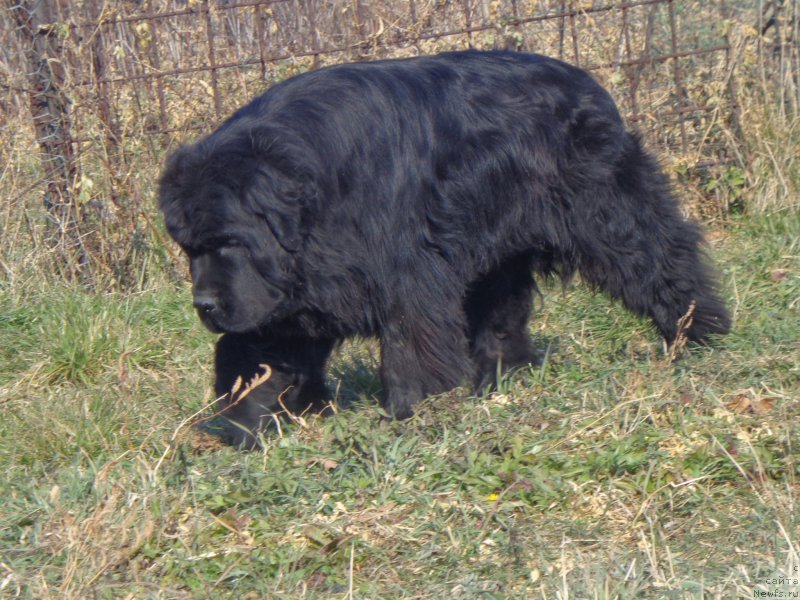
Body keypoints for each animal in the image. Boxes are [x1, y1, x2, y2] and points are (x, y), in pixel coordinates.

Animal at [158, 49, 732, 438]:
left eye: (229, 240)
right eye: (188, 248)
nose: (204, 305)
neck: (311, 191)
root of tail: (589, 83)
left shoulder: (400, 271)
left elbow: (412, 338)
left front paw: (416, 408)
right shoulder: (295, 287)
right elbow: (256, 348)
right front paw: (245, 422)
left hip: (607, 213)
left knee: (658, 255)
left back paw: (696, 330)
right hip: (499, 246)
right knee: (500, 309)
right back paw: (501, 376)